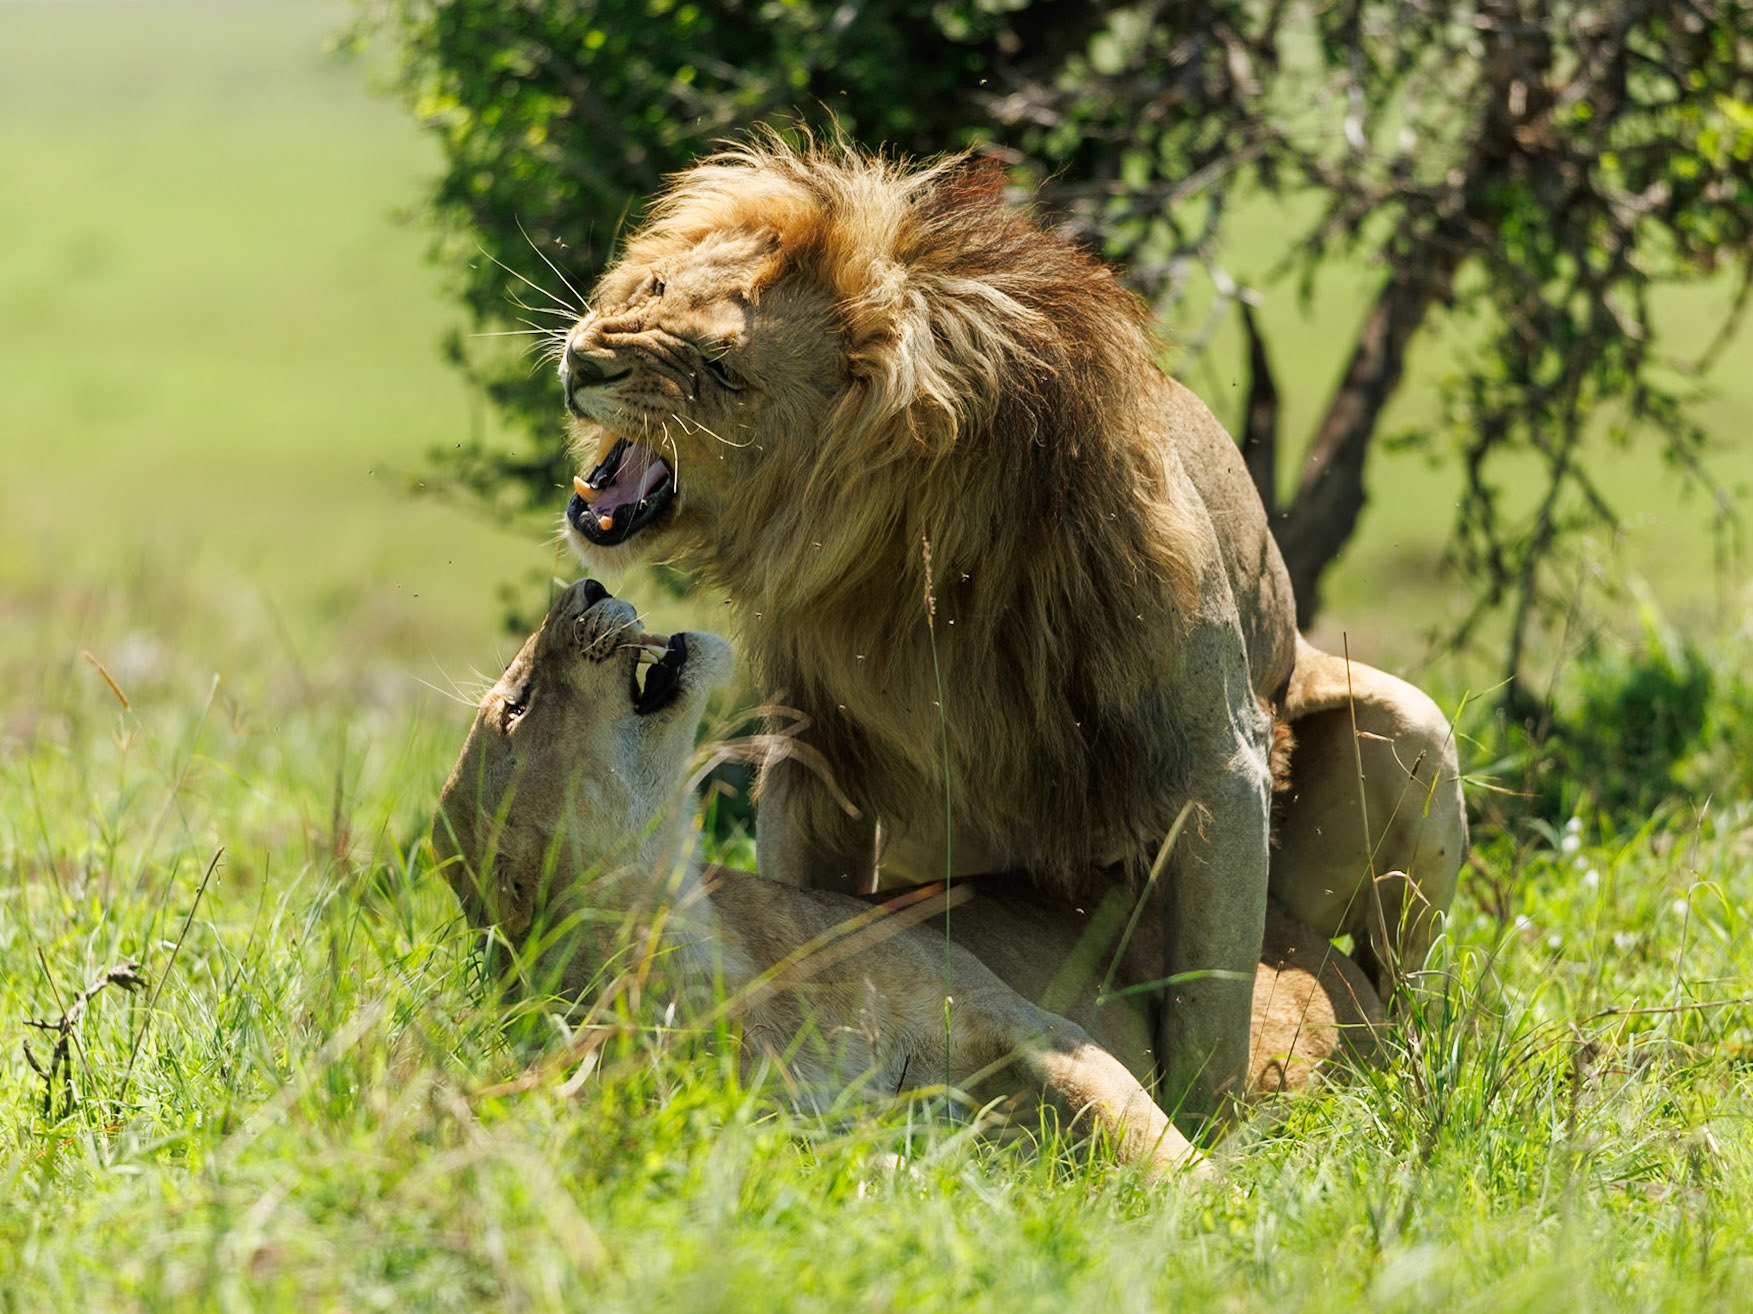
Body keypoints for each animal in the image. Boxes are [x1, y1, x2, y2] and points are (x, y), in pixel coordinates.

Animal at [432, 579, 1386, 1178]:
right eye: (516, 707)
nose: (584, 588)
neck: (694, 941)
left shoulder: (1019, 1019)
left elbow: (1135, 1129)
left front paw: (1222, 1209)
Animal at [554, 137, 1462, 1121]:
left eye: (720, 368)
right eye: (652, 289)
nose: (585, 361)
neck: (902, 539)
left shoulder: (1218, 759)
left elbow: (1207, 1005)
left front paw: (1216, 1130)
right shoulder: (819, 748)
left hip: (1409, 734)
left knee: (1393, 978)